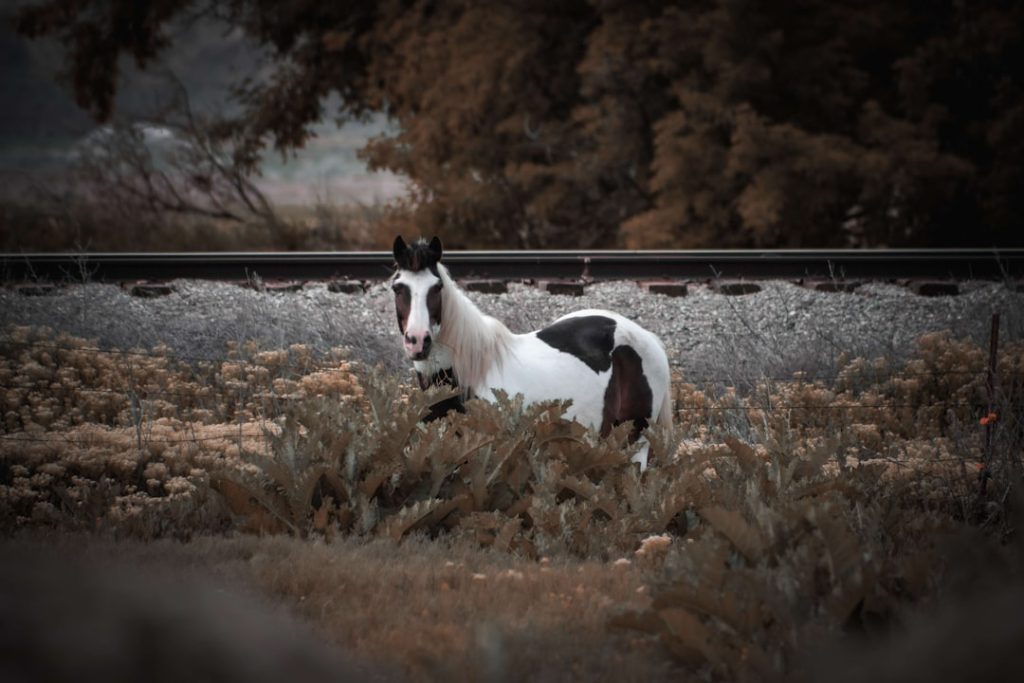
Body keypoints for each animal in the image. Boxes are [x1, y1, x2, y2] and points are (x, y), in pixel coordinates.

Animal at [390, 235, 672, 469]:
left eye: (437, 287)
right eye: (397, 287)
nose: (417, 341)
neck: (469, 375)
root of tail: (647, 338)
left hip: (635, 439)